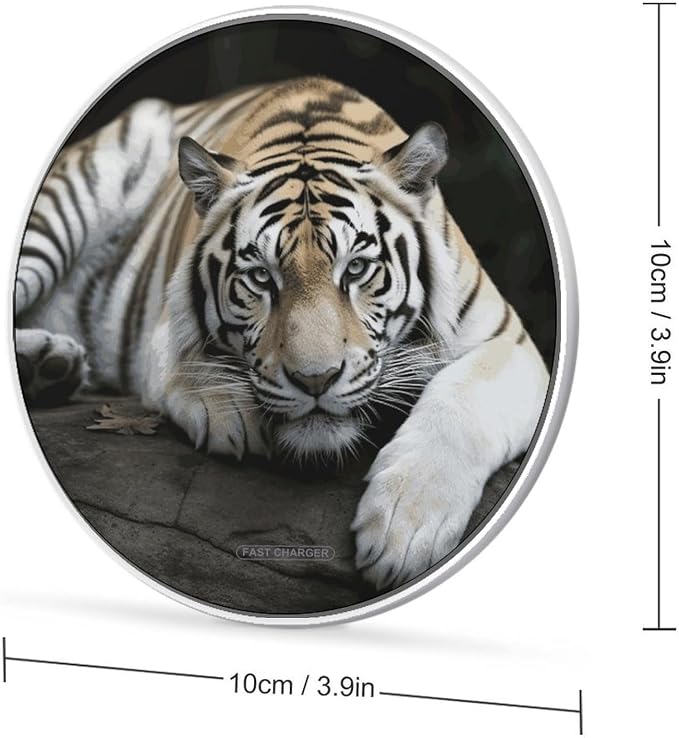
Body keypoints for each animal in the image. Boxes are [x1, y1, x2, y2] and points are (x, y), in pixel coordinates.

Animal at [14, 76, 549, 590]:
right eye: (260, 277)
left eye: (356, 269)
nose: (315, 380)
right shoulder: (167, 320)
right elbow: (185, 358)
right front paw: (229, 410)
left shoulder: (511, 342)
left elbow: (465, 401)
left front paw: (406, 526)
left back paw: (50, 366)